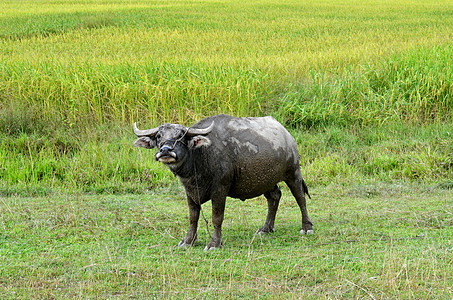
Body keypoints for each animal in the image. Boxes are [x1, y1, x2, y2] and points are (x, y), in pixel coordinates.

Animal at [132, 113, 312, 250]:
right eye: (159, 136)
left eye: (180, 137)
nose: (165, 150)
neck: (200, 157)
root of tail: (287, 135)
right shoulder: (190, 191)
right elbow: (193, 217)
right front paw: (188, 241)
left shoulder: (220, 190)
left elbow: (216, 217)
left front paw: (214, 243)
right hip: (265, 181)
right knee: (274, 197)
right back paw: (266, 228)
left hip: (293, 173)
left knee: (300, 198)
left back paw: (306, 227)